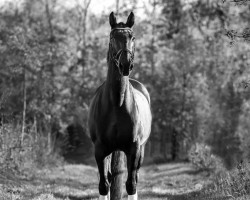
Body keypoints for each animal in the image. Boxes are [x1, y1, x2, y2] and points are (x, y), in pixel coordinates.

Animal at [88, 11, 152, 200]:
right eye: (112, 37)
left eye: (133, 37)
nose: (126, 64)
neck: (117, 104)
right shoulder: (100, 150)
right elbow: (104, 185)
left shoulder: (134, 149)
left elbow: (131, 185)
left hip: (140, 151)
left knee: (134, 179)